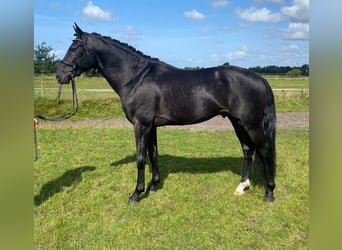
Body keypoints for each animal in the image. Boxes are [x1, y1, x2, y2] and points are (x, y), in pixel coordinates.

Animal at [55, 23, 276, 203]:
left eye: (75, 48)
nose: (59, 75)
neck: (136, 78)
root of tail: (259, 77)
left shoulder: (141, 125)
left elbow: (141, 158)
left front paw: (136, 194)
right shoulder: (151, 126)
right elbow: (153, 155)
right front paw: (153, 186)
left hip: (251, 124)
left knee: (265, 151)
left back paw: (269, 193)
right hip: (237, 122)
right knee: (248, 150)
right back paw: (242, 186)